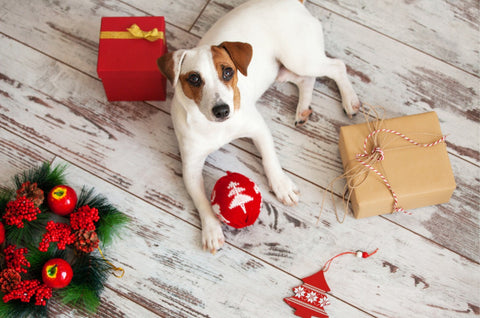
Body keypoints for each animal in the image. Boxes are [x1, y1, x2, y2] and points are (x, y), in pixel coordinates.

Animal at [158, 0, 360, 253]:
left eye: (228, 72)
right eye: (194, 79)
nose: (222, 110)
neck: (217, 127)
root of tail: (291, 2)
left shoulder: (258, 129)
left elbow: (269, 159)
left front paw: (282, 186)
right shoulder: (191, 167)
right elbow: (200, 199)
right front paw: (211, 229)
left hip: (300, 58)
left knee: (336, 67)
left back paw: (350, 100)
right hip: (283, 71)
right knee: (304, 79)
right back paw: (303, 109)